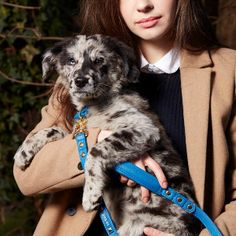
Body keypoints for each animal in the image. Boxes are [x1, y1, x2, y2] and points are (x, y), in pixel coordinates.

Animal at [14, 34, 199, 235]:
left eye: (99, 60)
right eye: (71, 60)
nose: (80, 81)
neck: (94, 105)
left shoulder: (144, 128)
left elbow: (96, 150)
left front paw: (90, 193)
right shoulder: (79, 132)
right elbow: (54, 130)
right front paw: (24, 151)